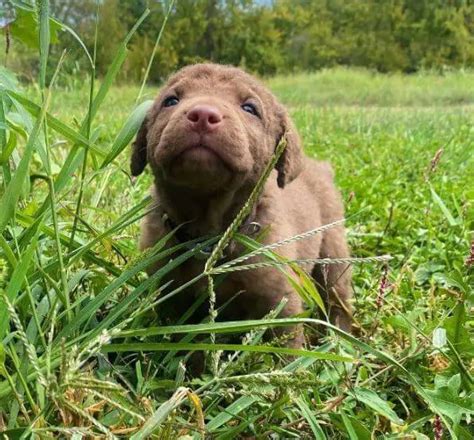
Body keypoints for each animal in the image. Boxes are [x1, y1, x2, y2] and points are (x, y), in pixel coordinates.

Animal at [130, 64, 352, 348]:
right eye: (171, 101)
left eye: (250, 108)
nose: (203, 114)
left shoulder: (280, 299)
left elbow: (287, 347)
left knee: (337, 298)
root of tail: (321, 167)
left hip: (332, 252)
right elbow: (186, 348)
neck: (210, 236)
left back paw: (340, 343)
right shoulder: (173, 299)